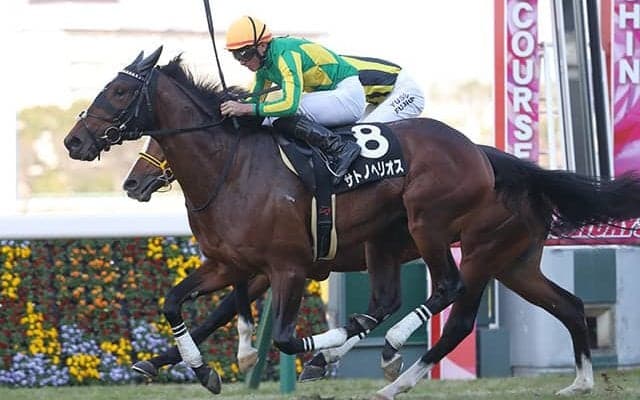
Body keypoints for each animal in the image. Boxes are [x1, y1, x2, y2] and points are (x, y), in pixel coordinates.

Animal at [64, 48, 640, 399]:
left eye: (119, 93)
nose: (75, 141)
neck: (231, 165)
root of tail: (487, 157)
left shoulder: (287, 268)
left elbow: (281, 337)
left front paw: (310, 356)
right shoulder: (230, 263)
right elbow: (183, 304)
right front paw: (194, 366)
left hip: (448, 235)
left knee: (451, 301)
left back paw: (390, 367)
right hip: (507, 260)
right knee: (566, 305)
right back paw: (580, 382)